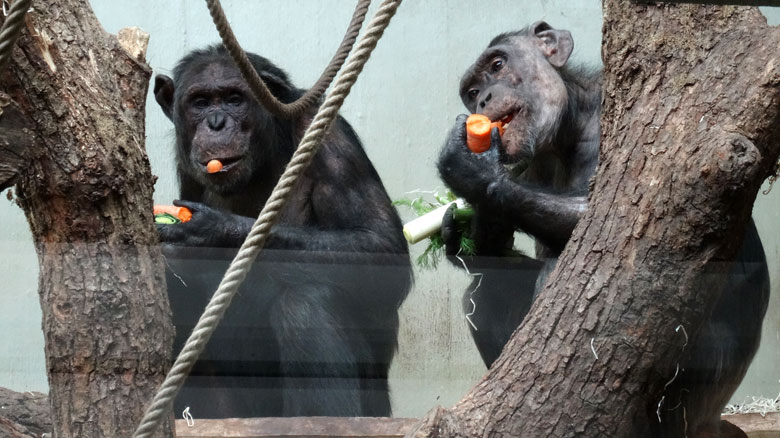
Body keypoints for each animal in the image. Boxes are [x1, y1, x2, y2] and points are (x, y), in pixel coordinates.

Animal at [149, 44, 412, 418]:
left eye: (234, 99)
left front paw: (209, 234)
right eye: (200, 102)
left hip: (374, 408)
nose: (216, 123)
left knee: (305, 305)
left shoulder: (333, 142)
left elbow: (382, 247)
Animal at [436, 23, 772, 438]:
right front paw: (463, 236)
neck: (568, 128)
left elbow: (623, 215)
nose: (482, 99)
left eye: (498, 65)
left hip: (699, 379)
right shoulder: (530, 164)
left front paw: (471, 168)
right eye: (471, 92)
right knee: (482, 294)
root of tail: (715, 418)